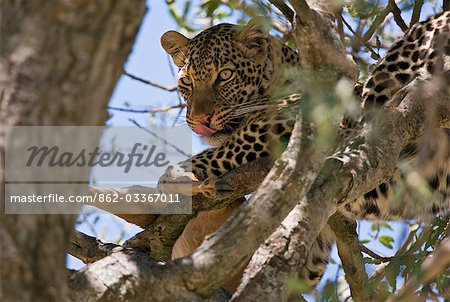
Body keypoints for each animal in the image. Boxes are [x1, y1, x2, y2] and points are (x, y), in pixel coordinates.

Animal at [159, 12, 450, 292]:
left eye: (225, 75)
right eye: (187, 82)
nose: (200, 119)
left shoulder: (285, 121)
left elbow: (233, 147)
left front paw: (177, 176)